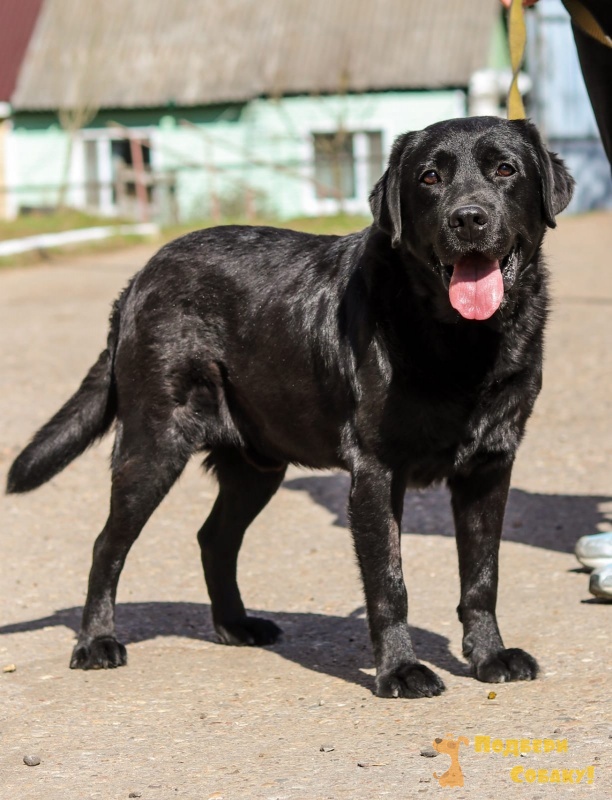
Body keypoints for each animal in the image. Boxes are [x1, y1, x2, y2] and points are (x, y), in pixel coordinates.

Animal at [7, 115, 572, 696]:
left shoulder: (489, 468)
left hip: (258, 465)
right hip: (152, 445)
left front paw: (489, 656)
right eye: (430, 178)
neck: (460, 343)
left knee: (214, 539)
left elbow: (483, 575)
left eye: (504, 169)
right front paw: (399, 670)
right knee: (107, 545)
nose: (468, 218)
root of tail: (139, 278)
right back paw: (96, 642)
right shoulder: (375, 473)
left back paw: (235, 626)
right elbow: (389, 583)